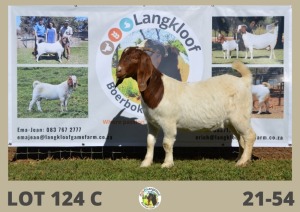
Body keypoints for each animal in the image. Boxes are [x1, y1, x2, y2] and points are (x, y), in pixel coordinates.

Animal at [115, 47, 255, 168]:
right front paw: (146, 163)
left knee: (250, 135)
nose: (118, 71)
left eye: (134, 58)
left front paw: (167, 164)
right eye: (122, 56)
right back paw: (240, 159)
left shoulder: (168, 122)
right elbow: (149, 142)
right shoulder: (151, 122)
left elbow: (167, 143)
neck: (159, 89)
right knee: (241, 138)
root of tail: (243, 81)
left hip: (240, 117)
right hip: (231, 121)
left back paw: (242, 162)